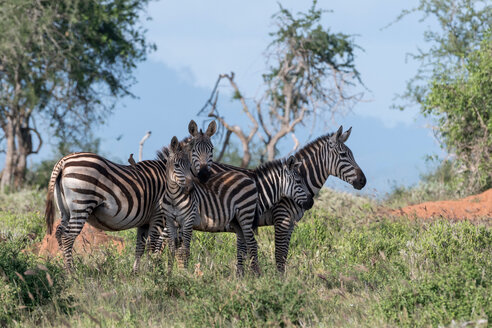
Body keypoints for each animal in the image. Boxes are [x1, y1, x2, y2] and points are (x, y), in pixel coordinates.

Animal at [43, 120, 216, 272]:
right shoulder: (159, 215)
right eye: (194, 152)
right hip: (81, 204)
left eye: (212, 150)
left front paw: (137, 273)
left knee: (59, 233)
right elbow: (154, 246)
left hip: (65, 210)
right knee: (68, 237)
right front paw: (152, 272)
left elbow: (140, 246)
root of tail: (63, 161)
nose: (204, 175)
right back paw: (71, 273)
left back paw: (63, 268)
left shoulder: (145, 221)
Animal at [209, 125, 368, 272]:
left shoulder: (291, 223)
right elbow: (279, 254)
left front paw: (283, 279)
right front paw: (279, 281)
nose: (363, 181)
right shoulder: (282, 218)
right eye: (343, 155)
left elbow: (284, 254)